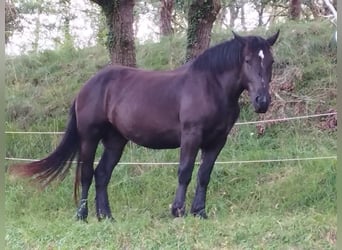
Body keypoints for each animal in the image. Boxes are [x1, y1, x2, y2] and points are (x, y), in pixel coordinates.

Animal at [10, 30, 278, 221]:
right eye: (247, 60)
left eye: (271, 61)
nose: (262, 101)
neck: (211, 86)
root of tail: (86, 87)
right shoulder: (191, 136)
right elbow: (185, 172)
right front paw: (177, 211)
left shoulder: (217, 141)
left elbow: (204, 175)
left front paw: (199, 212)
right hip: (89, 137)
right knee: (86, 174)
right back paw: (82, 216)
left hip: (115, 141)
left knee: (102, 174)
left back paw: (106, 217)